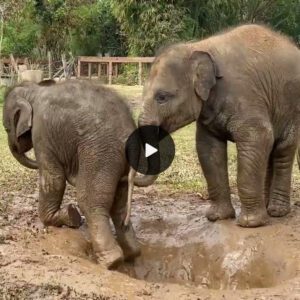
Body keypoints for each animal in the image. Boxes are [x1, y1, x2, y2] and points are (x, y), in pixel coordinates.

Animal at [1, 79, 149, 268]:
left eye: (6, 128)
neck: (35, 89)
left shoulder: (42, 133)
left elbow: (54, 179)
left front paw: (69, 216)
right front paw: (71, 217)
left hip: (100, 154)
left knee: (90, 200)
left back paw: (111, 262)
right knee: (120, 205)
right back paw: (132, 254)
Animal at [135, 24, 300, 227]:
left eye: (162, 97)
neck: (198, 47)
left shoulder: (246, 96)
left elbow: (258, 137)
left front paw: (249, 223)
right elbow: (208, 149)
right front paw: (218, 217)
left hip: (293, 108)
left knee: (283, 149)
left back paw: (277, 212)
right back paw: (268, 208)